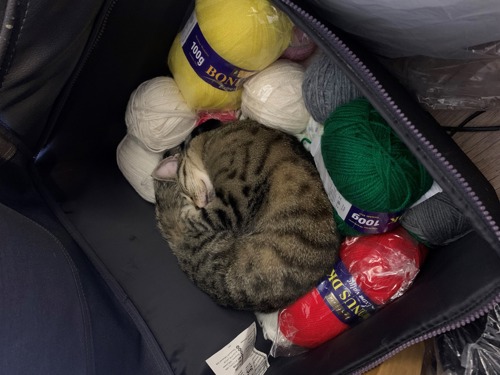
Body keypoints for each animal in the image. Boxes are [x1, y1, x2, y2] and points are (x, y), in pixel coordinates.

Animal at [152, 120, 340, 314]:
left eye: (187, 195)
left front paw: (182, 214)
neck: (211, 139)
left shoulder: (233, 203)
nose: (198, 205)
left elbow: (199, 216)